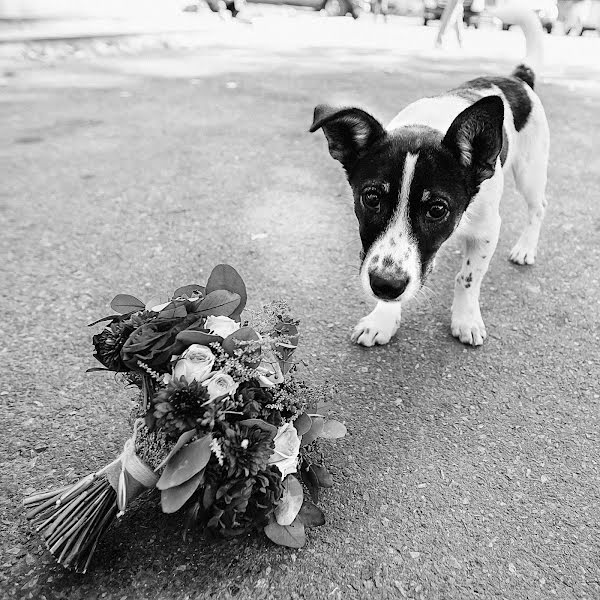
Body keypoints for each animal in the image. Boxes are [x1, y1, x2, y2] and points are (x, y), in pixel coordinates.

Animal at [312, 5, 552, 346]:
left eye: (437, 209)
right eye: (371, 198)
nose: (385, 285)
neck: (429, 124)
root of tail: (517, 77)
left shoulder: (487, 229)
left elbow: (468, 276)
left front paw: (466, 319)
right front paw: (383, 318)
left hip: (530, 171)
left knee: (538, 207)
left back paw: (526, 248)